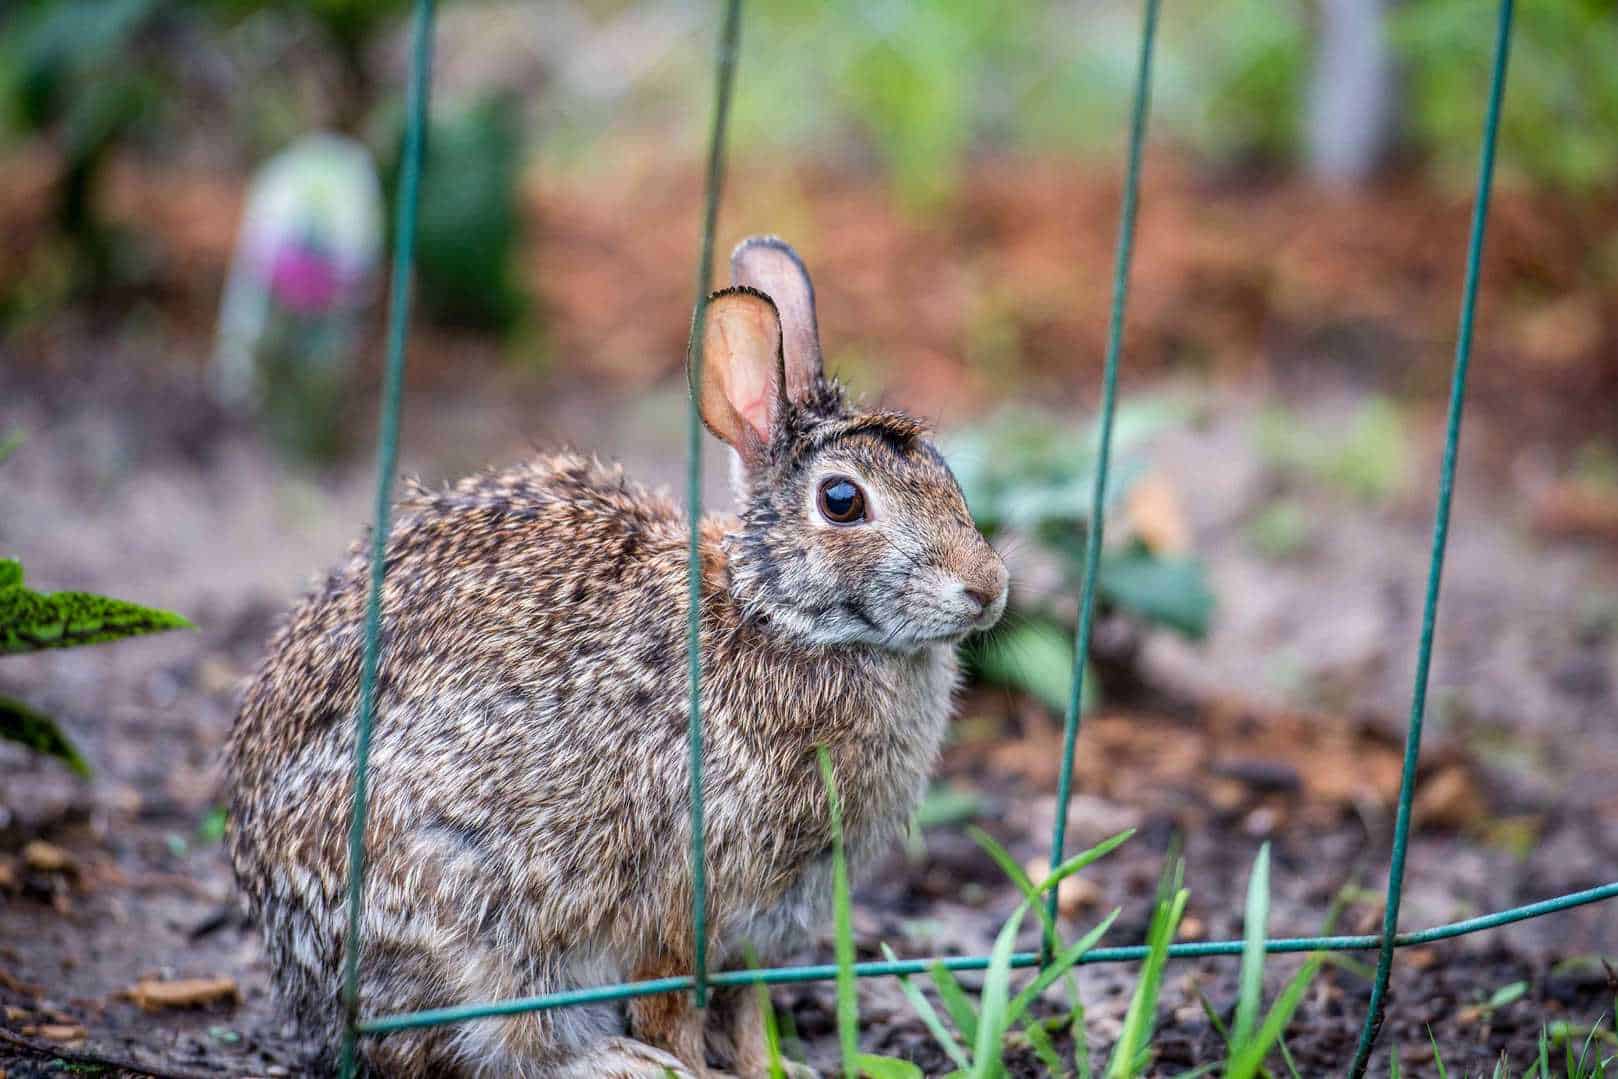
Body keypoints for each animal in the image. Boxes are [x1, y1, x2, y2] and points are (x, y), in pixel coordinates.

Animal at [224, 237, 1009, 1079]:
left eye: (945, 472)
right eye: (842, 501)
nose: (987, 587)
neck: (776, 613)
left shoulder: (759, 928)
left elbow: (747, 1009)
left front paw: (776, 1068)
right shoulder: (680, 899)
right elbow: (675, 1007)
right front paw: (693, 1070)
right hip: (457, 920)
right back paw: (620, 1061)